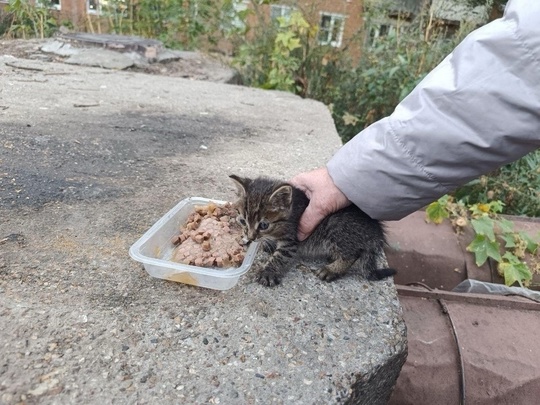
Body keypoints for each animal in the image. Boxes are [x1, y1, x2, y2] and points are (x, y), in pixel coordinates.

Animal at [229, 175, 396, 286]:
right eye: (243, 221)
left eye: (264, 225)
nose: (251, 237)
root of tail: (376, 232)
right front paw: (266, 244)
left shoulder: (292, 240)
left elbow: (280, 256)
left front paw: (268, 271)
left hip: (336, 227)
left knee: (353, 254)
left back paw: (332, 269)